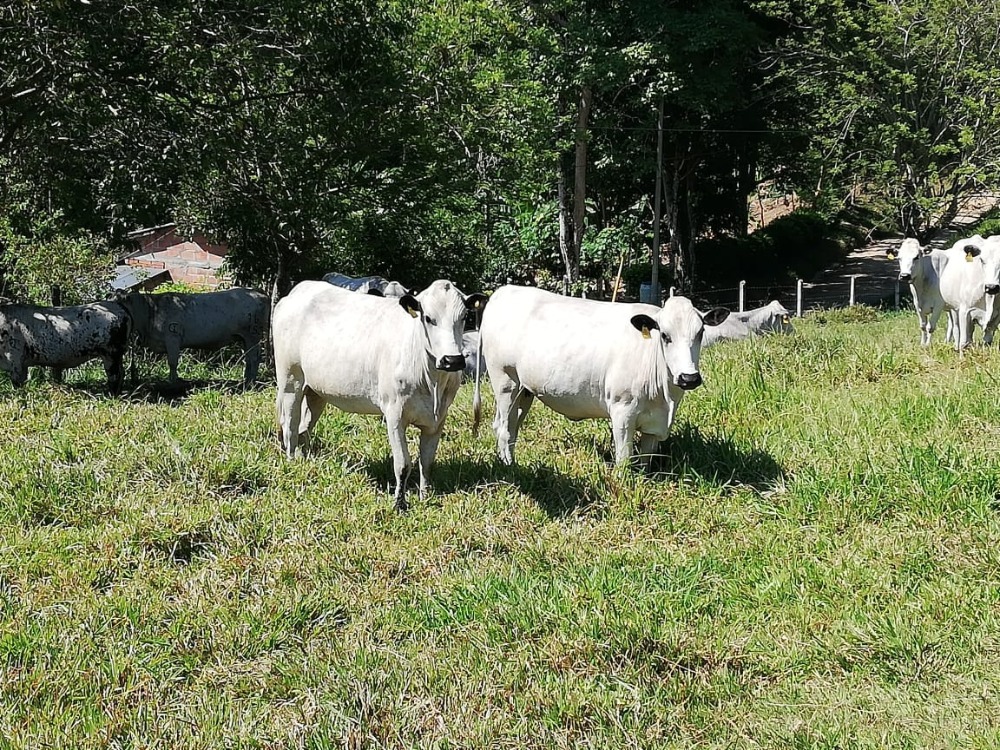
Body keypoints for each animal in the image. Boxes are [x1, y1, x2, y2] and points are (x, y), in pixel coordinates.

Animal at [0, 300, 131, 394]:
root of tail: (120, 307)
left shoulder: (15, 360)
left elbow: (17, 384)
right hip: (116, 355)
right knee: (121, 373)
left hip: (111, 354)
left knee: (114, 376)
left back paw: (111, 395)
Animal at [118, 284, 270, 384]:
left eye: (118, 302)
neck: (151, 310)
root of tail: (257, 291)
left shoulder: (173, 338)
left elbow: (172, 362)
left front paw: (172, 381)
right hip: (244, 338)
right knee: (249, 358)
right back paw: (245, 379)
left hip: (252, 335)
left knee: (254, 358)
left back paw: (250, 382)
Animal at [276, 280, 486, 516]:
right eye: (428, 318)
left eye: (463, 317)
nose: (452, 360)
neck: (432, 382)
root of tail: (299, 290)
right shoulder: (394, 414)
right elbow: (403, 464)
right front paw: (399, 504)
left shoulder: (438, 419)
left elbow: (427, 461)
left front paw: (425, 496)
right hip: (290, 381)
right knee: (290, 427)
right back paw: (292, 463)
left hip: (315, 391)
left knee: (304, 429)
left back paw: (306, 462)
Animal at [476, 286, 728, 468]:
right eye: (665, 335)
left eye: (700, 332)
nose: (689, 378)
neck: (666, 397)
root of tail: (503, 292)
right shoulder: (622, 412)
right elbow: (624, 460)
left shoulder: (654, 424)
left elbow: (645, 462)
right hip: (505, 382)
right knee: (503, 427)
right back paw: (509, 467)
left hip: (525, 390)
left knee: (512, 427)